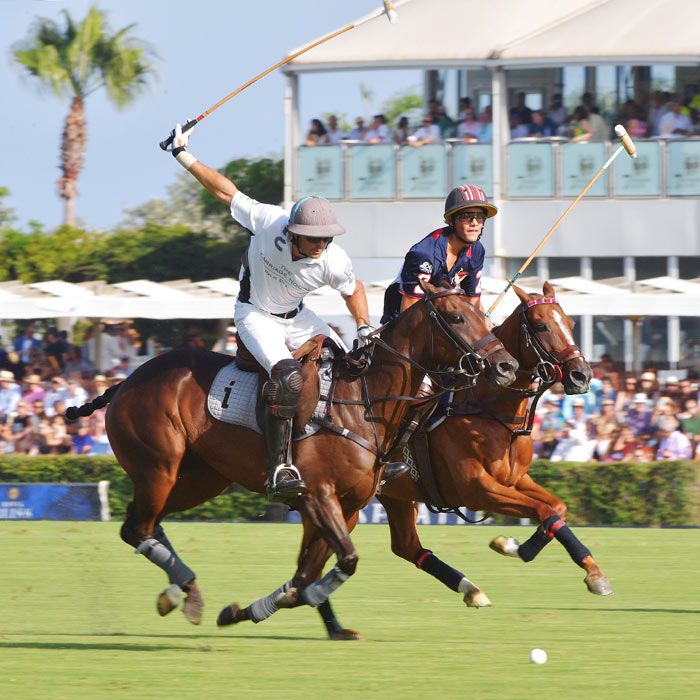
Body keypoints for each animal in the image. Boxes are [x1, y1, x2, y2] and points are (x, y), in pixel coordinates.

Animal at [71, 282, 516, 628]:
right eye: (456, 319)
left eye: (483, 315)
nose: (506, 365)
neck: (364, 401)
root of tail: (127, 380)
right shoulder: (318, 495)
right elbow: (343, 562)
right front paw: (309, 600)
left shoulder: (348, 506)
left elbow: (306, 572)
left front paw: (247, 610)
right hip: (158, 468)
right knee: (138, 528)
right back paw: (186, 592)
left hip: (201, 480)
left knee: (142, 524)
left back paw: (180, 593)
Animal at [312, 284, 612, 640]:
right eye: (541, 325)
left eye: (570, 322)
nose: (582, 375)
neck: (490, 408)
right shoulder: (476, 489)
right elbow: (545, 511)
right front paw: (519, 548)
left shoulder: (514, 479)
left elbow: (558, 508)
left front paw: (529, 551)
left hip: (394, 495)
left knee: (406, 546)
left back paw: (470, 589)